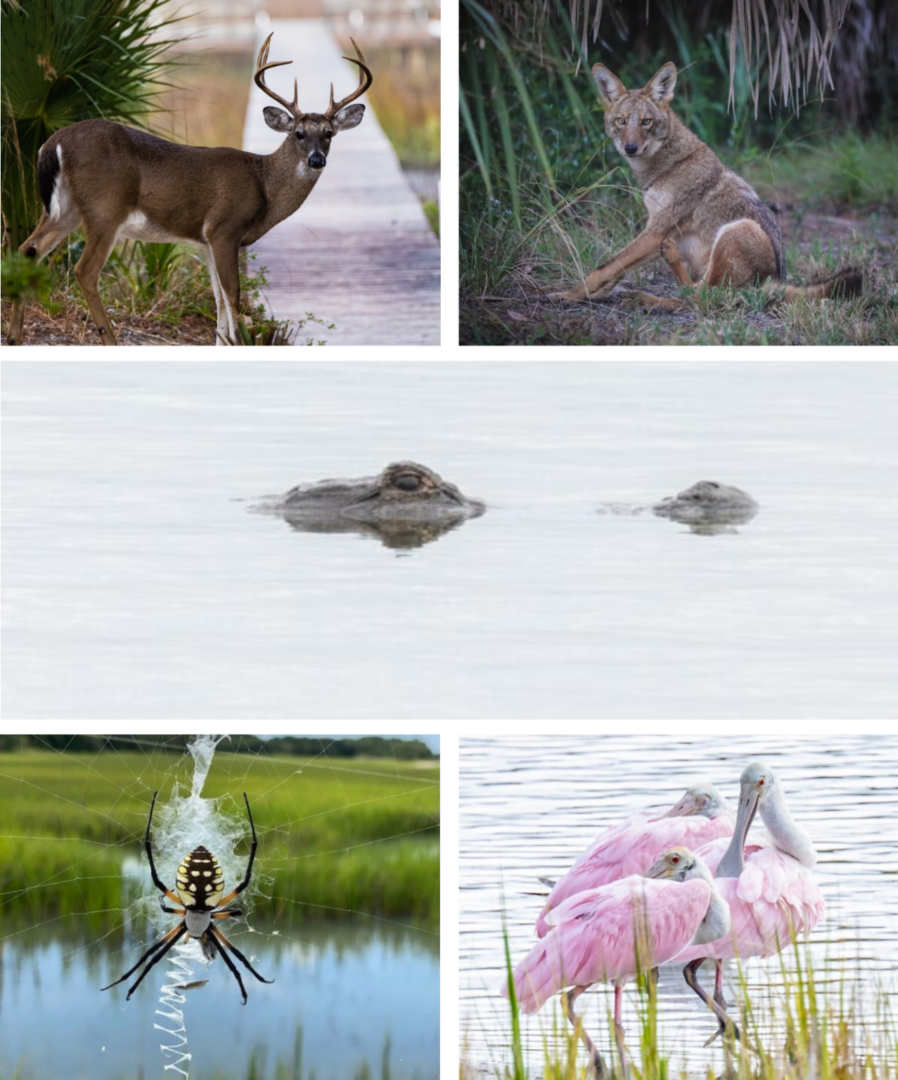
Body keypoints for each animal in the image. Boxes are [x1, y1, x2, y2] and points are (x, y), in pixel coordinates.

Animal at [5, 33, 372, 347]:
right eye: (298, 133)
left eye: (329, 133)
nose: (316, 159)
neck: (263, 184)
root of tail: (53, 142)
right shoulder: (224, 228)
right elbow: (233, 297)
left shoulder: (205, 241)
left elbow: (218, 300)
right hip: (105, 208)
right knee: (85, 270)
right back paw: (107, 339)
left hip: (64, 208)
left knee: (28, 249)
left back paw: (14, 336)